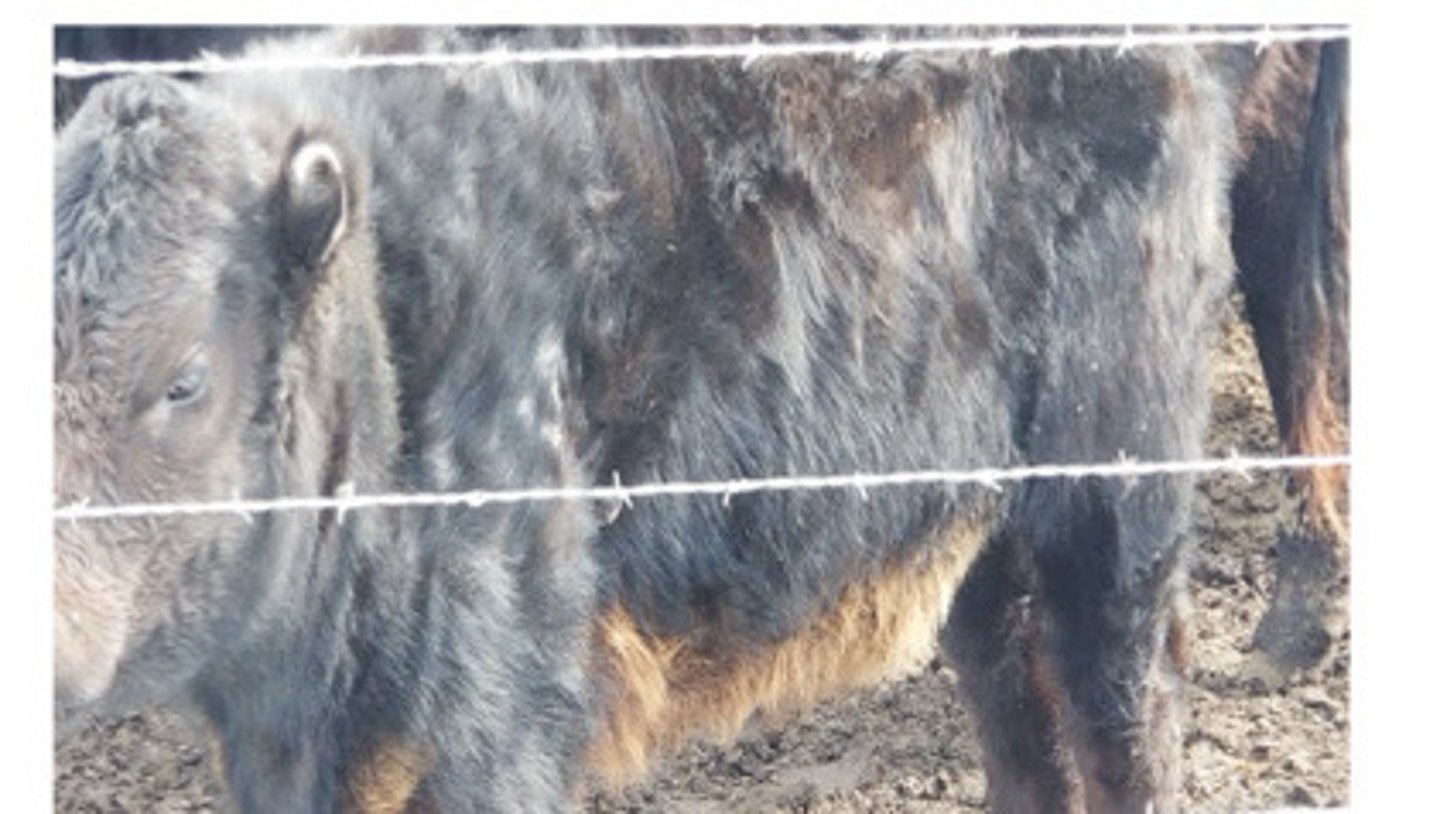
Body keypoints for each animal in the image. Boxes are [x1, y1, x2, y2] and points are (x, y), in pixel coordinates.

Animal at [53, 26, 1332, 813]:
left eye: (184, 378)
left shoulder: (497, 708)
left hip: (1114, 480)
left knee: (1124, 695)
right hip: (970, 510)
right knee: (1017, 692)